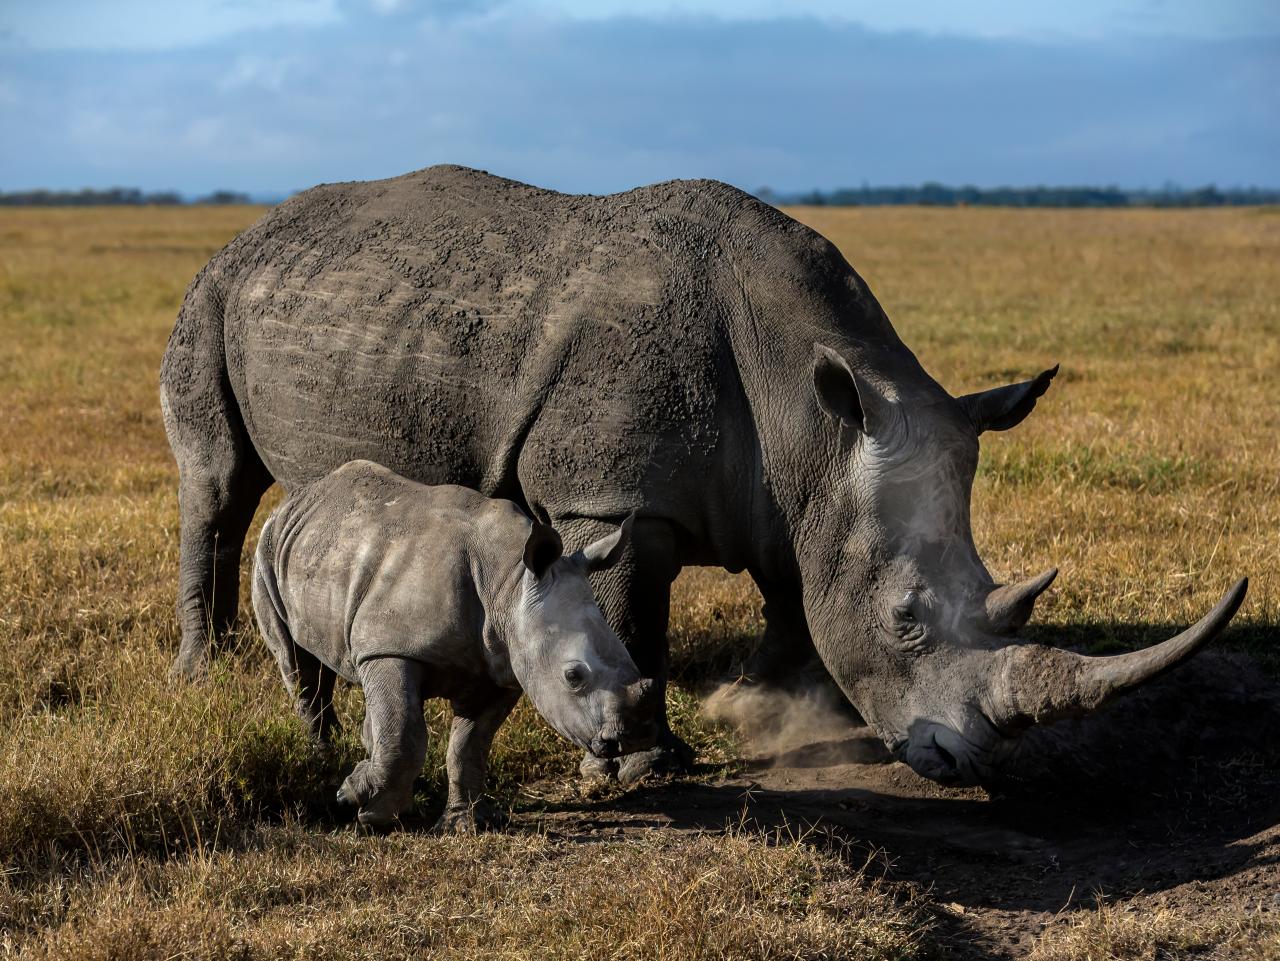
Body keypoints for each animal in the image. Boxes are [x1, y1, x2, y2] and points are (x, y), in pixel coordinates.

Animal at [161, 164, 1247, 786]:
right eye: (905, 618)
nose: (965, 760)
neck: (809, 409)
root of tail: (254, 230)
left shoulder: (792, 483)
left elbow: (792, 593)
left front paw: (766, 708)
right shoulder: (609, 498)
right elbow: (632, 614)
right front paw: (648, 764)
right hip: (206, 295)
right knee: (217, 483)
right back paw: (204, 671)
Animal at [252, 459, 657, 829]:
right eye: (574, 676)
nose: (636, 735)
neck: (510, 583)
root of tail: (298, 498)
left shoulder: (502, 668)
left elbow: (468, 747)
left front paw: (462, 825)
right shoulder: (390, 648)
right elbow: (405, 734)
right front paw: (361, 806)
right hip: (268, 549)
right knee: (298, 666)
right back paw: (325, 763)